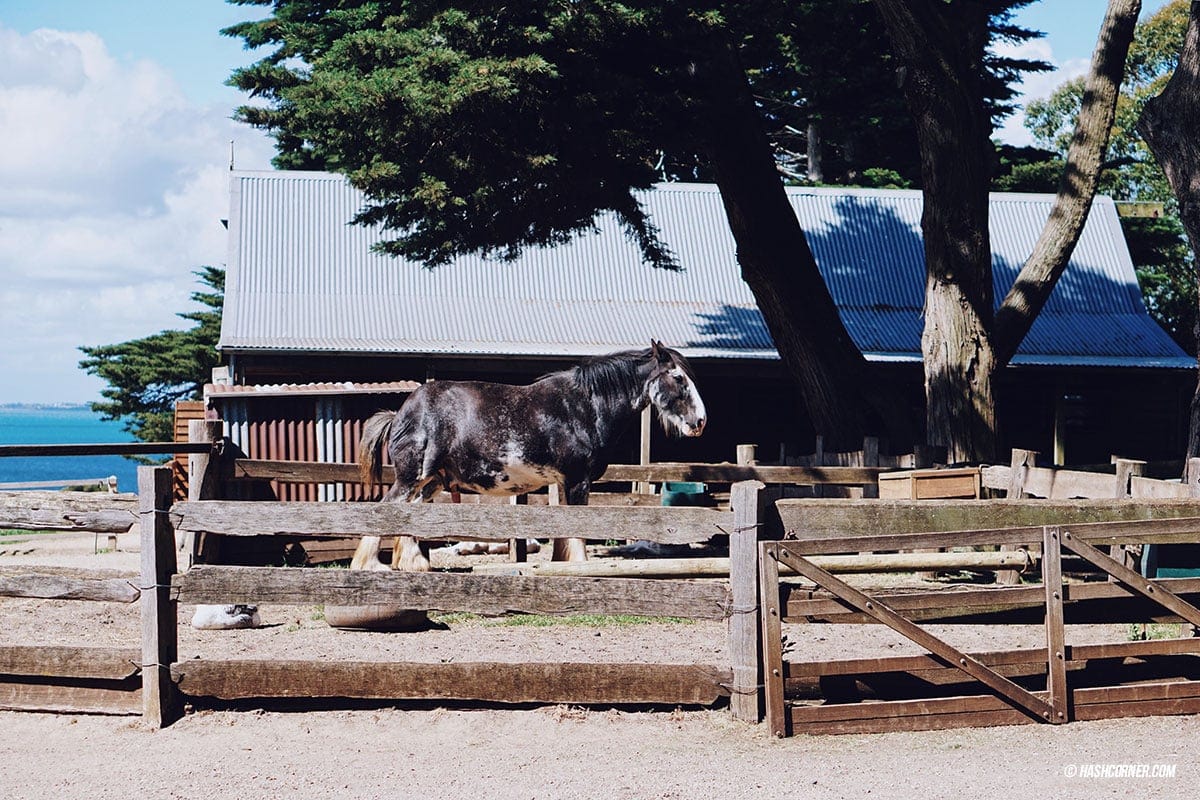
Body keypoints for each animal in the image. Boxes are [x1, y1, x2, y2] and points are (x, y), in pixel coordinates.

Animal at [350, 340, 700, 573]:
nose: (699, 421)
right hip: (412, 478)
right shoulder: (578, 481)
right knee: (386, 511)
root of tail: (401, 412)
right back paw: (369, 566)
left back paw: (413, 564)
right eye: (678, 378)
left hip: (431, 482)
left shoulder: (563, 482)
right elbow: (578, 532)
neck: (584, 406)